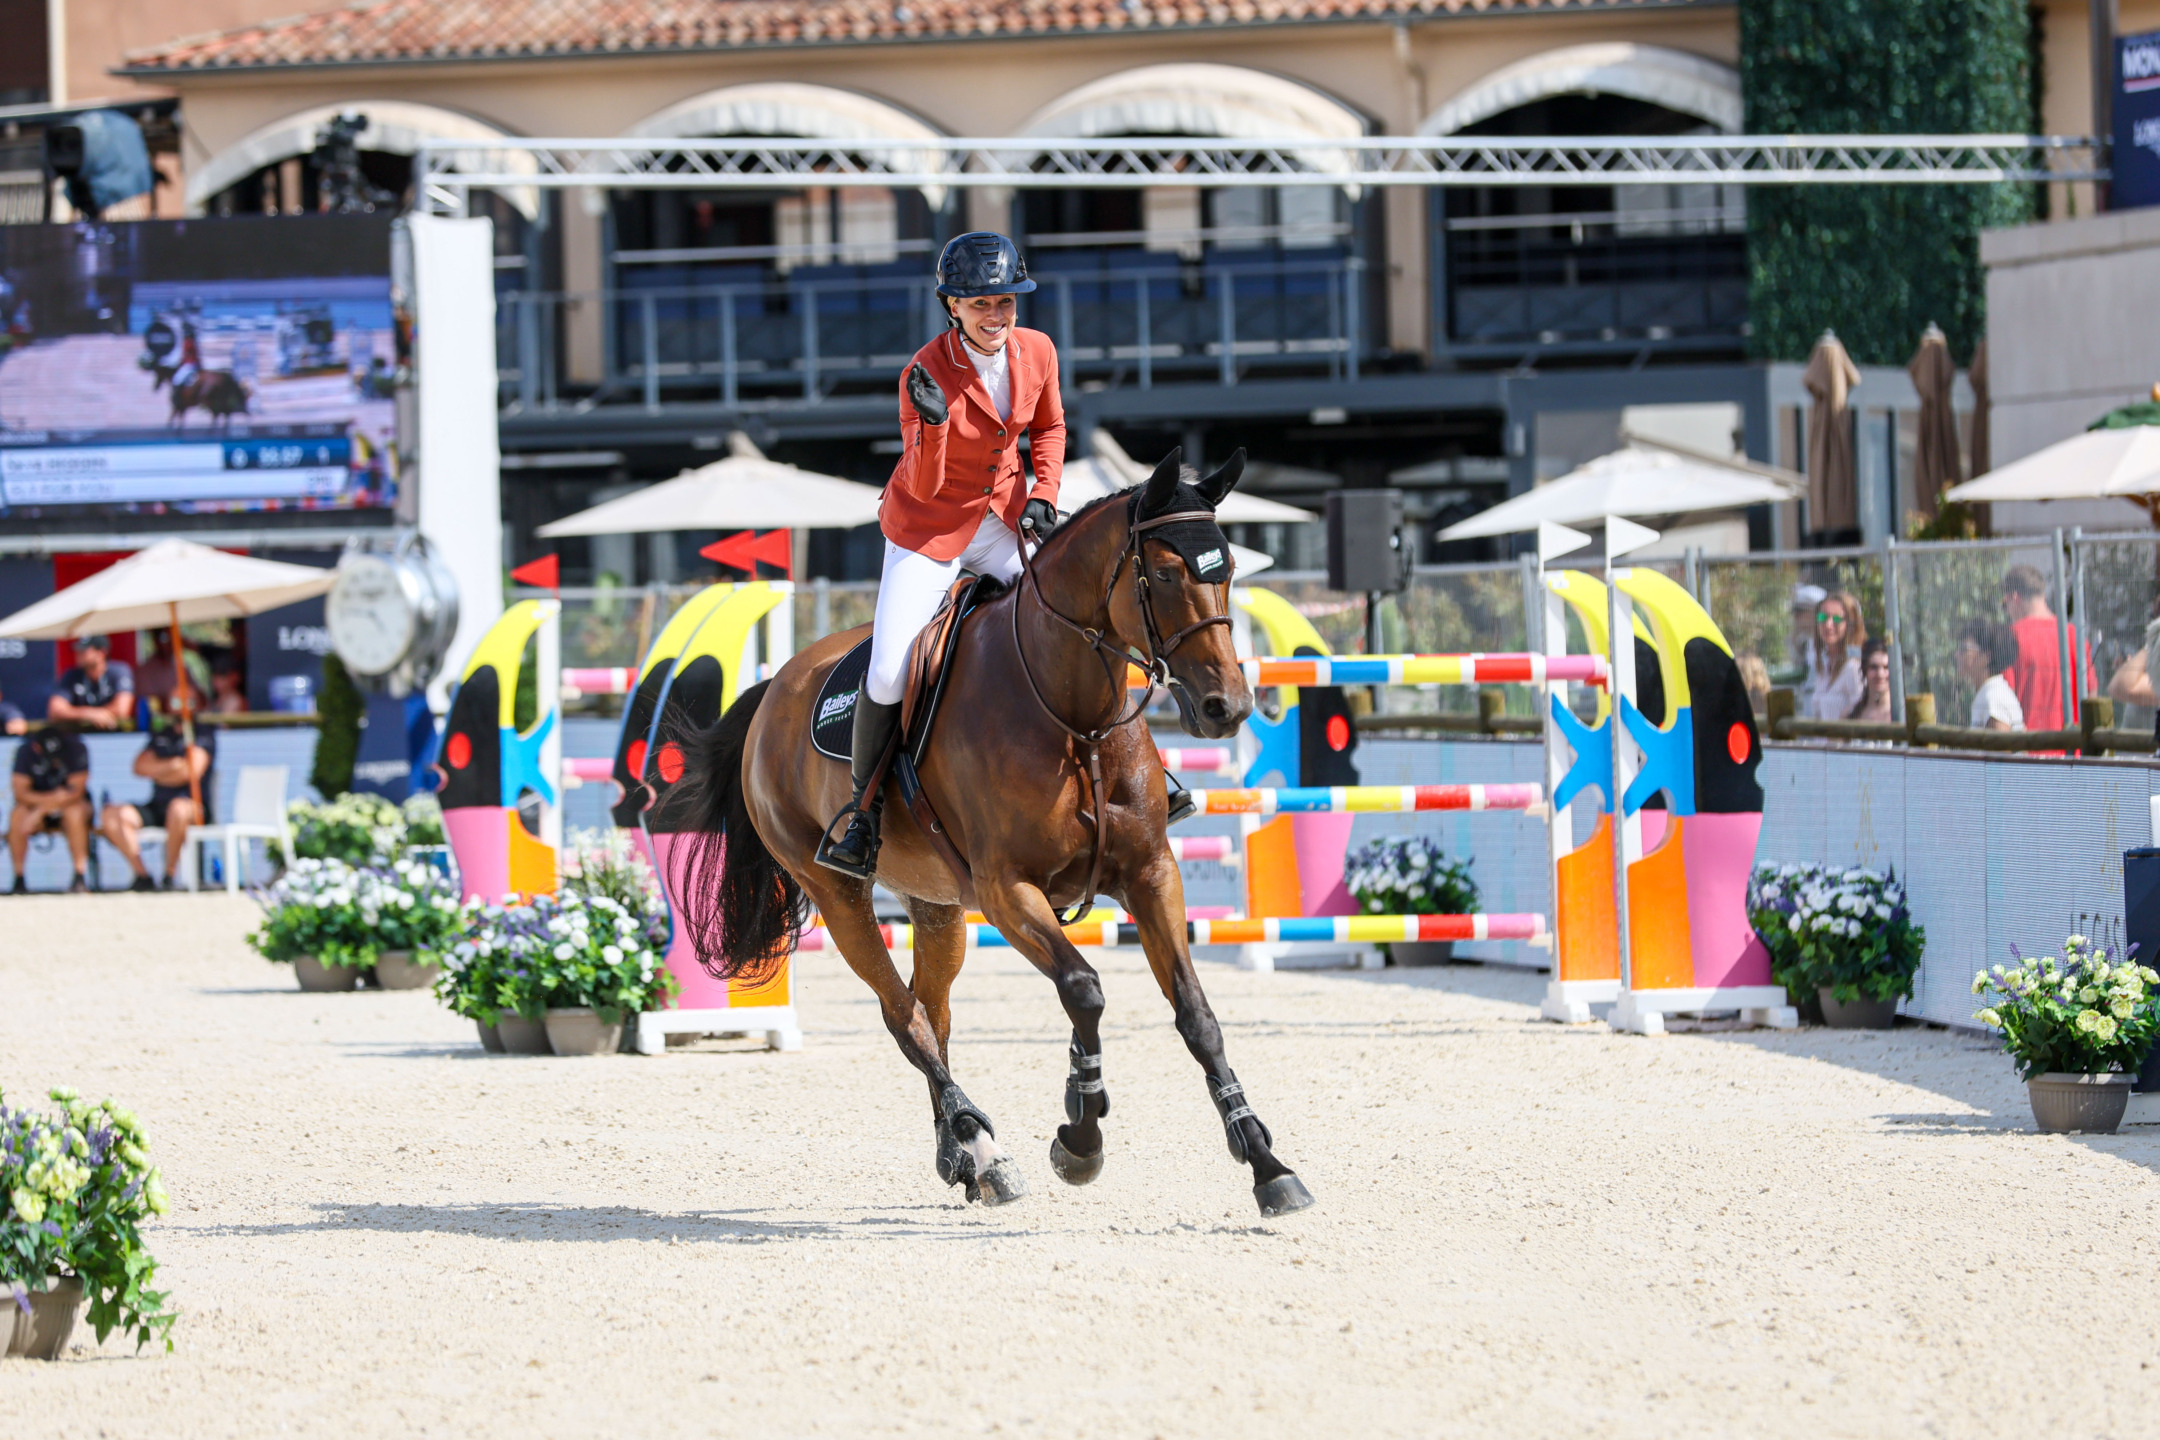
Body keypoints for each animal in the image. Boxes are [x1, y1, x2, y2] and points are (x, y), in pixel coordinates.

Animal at [673, 451, 1313, 1217]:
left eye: (1228, 571)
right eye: (1163, 574)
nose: (1228, 708)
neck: (1071, 713)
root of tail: (774, 691)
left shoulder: (1152, 873)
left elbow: (1197, 1014)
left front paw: (1266, 1163)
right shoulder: (1009, 891)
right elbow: (1084, 989)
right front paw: (1080, 1132)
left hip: (936, 903)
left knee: (933, 1009)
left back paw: (965, 1158)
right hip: (837, 892)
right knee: (903, 1015)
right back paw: (978, 1142)